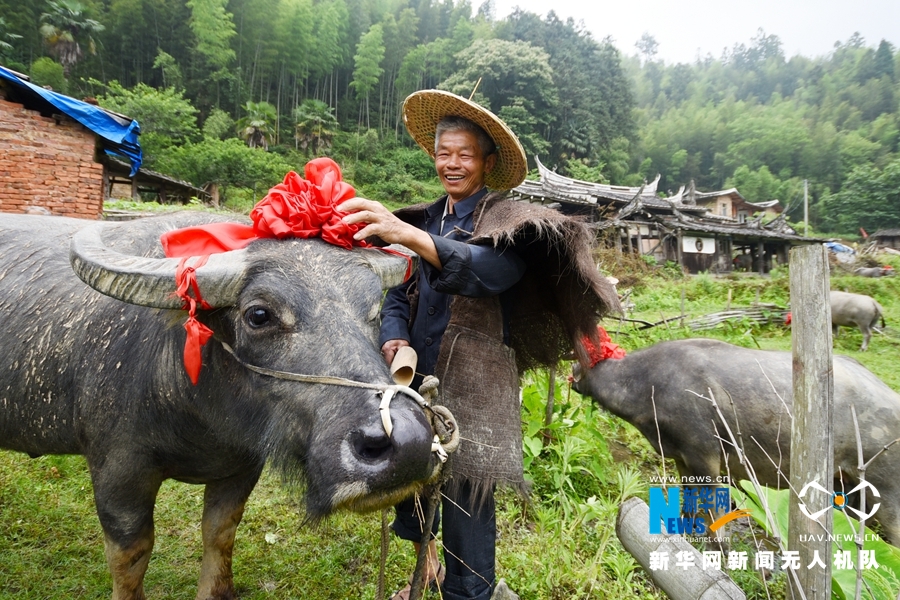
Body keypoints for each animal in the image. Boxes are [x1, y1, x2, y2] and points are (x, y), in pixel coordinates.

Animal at [0, 213, 442, 596]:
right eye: (259, 314)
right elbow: (130, 557)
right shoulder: (117, 472)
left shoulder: (242, 465)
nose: (409, 445)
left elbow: (221, 531)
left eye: (373, 310)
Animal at [576, 338, 900, 544]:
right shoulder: (682, 459)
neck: (651, 384)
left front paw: (717, 546)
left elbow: (712, 511)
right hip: (848, 486)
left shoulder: (706, 458)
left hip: (886, 493)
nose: (574, 375)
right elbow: (688, 501)